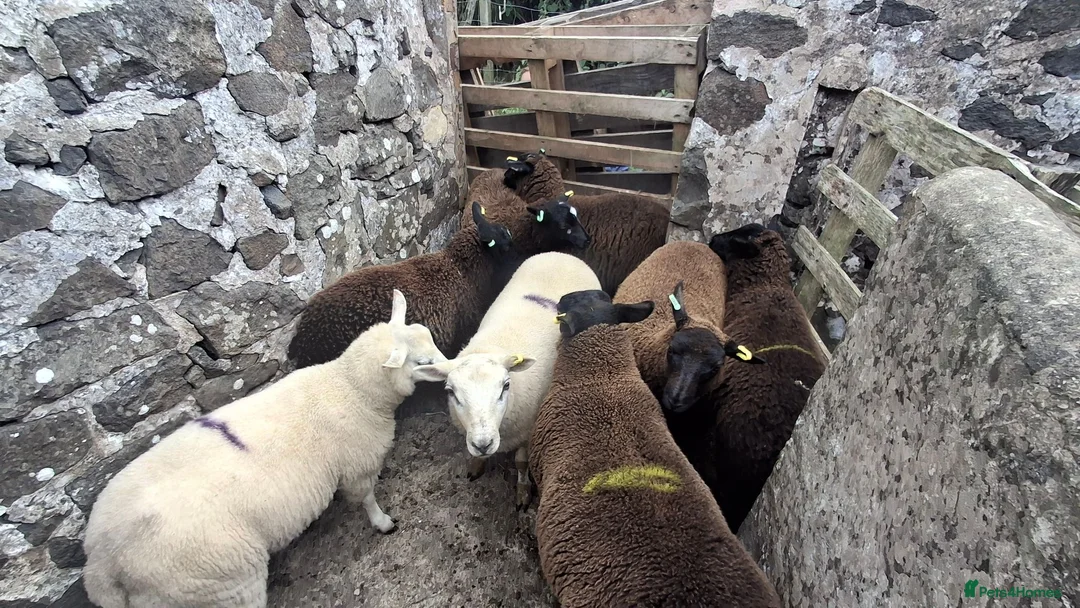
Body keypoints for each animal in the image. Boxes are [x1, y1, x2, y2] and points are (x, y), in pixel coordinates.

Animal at [83, 290, 447, 608]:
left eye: (428, 336)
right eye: (422, 361)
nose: (452, 368)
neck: (349, 387)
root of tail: (102, 564)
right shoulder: (358, 464)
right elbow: (367, 498)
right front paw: (383, 523)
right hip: (224, 582)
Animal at [412, 252, 601, 510]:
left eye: (506, 386)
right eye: (451, 392)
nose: (483, 443)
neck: (492, 345)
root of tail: (561, 254)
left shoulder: (528, 429)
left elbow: (521, 463)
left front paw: (523, 492)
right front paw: (476, 464)